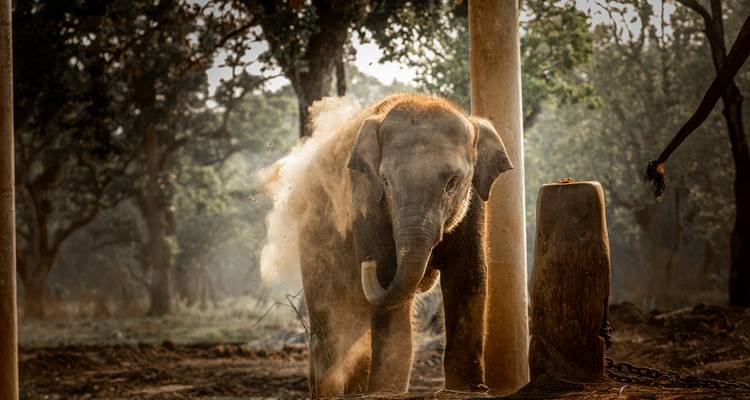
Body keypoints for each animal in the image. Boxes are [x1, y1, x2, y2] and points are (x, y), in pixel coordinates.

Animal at [260, 93, 512, 397]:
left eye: (452, 183)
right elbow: (389, 280)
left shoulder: (474, 206)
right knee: (330, 321)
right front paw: (387, 391)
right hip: (313, 240)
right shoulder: (365, 199)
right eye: (386, 182)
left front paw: (467, 390)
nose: (366, 263)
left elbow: (468, 277)